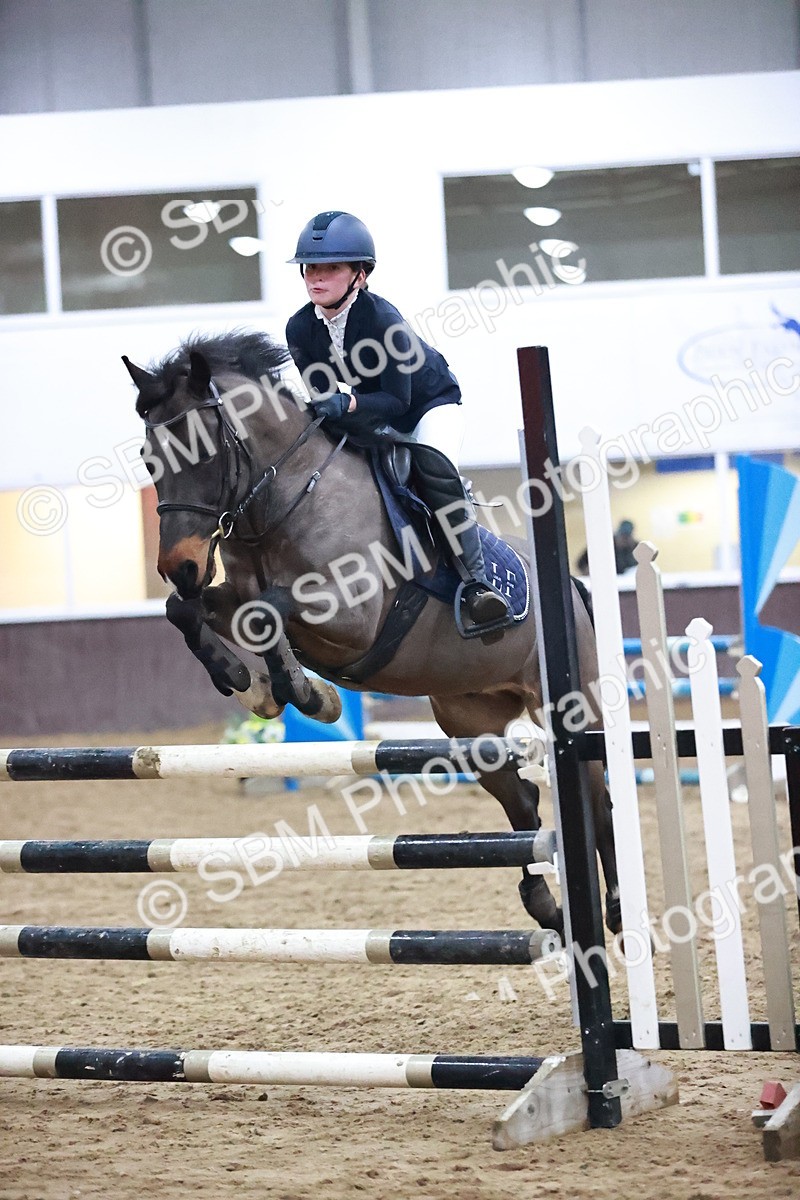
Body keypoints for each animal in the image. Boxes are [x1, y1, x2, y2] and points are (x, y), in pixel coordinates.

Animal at [123, 329, 619, 938]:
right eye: (148, 458)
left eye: (205, 452)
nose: (181, 566)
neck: (285, 501)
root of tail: (569, 587)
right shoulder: (229, 595)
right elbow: (188, 612)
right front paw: (249, 684)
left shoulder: (351, 614)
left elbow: (266, 611)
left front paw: (308, 694)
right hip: (470, 722)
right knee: (523, 800)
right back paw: (545, 904)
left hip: (571, 709)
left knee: (596, 799)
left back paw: (615, 909)